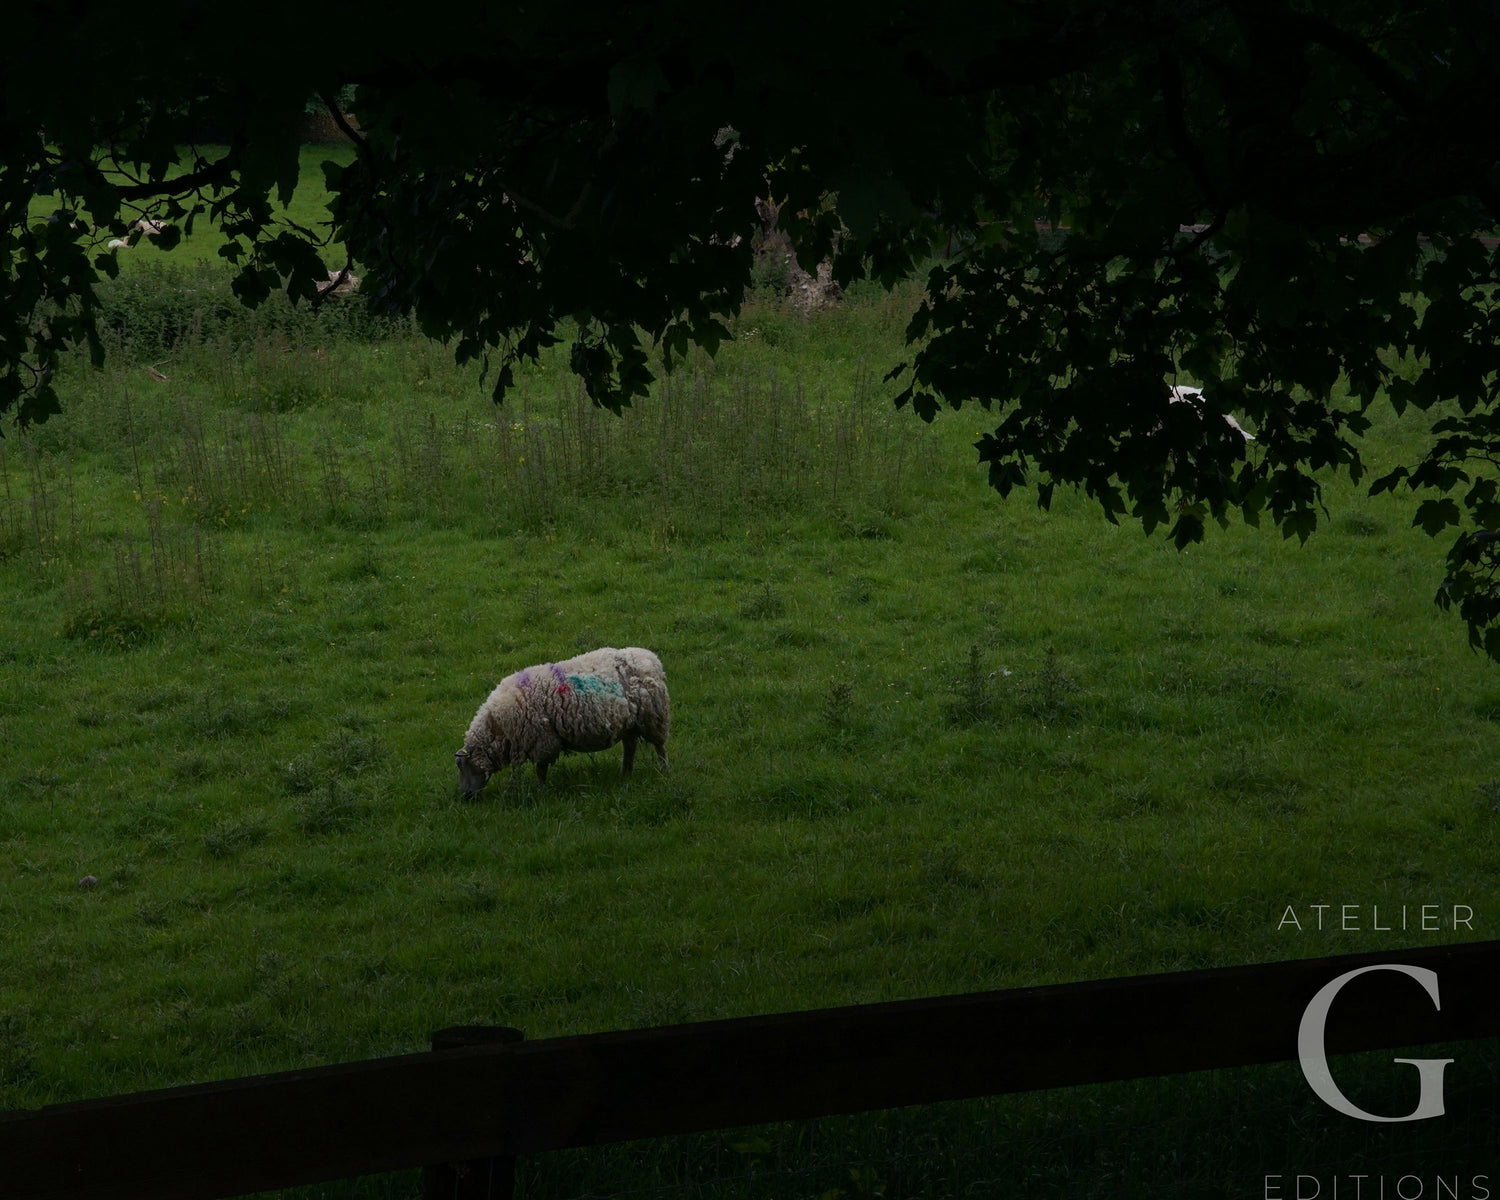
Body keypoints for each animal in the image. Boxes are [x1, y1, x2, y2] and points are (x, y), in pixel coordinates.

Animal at [455, 647, 670, 793]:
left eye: (461, 765)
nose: (465, 796)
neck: (498, 728)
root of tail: (651, 659)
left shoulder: (543, 741)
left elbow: (541, 769)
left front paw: (541, 791)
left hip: (654, 718)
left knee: (660, 747)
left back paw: (663, 770)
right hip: (630, 724)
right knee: (630, 747)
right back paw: (625, 773)